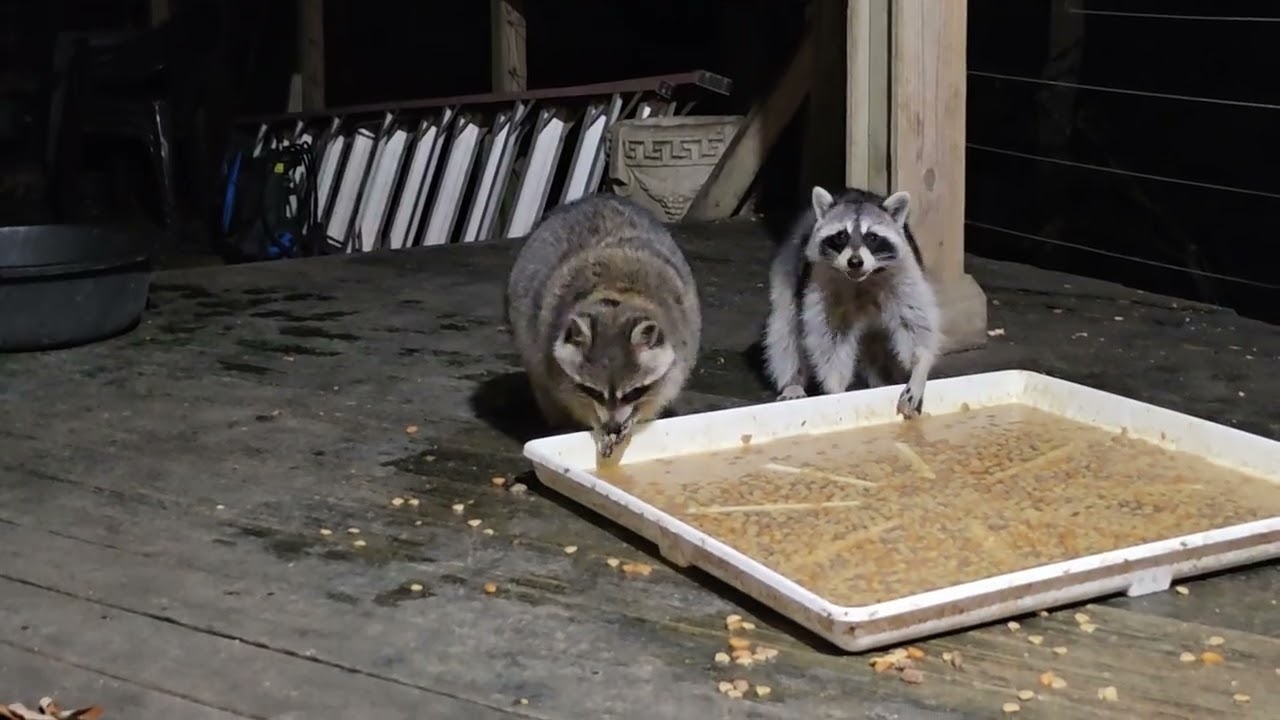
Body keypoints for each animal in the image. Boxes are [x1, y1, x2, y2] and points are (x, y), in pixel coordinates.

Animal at [505, 194, 702, 457]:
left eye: (632, 393)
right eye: (595, 392)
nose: (613, 426)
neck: (616, 299)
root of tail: (596, 197)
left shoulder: (680, 347)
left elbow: (659, 394)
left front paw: (633, 419)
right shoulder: (554, 360)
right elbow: (570, 397)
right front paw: (595, 425)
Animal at [762, 185, 941, 418]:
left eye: (872, 237)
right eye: (841, 236)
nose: (855, 261)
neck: (862, 278)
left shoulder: (904, 272)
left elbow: (916, 325)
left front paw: (920, 367)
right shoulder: (824, 283)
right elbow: (830, 339)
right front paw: (835, 387)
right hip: (789, 267)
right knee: (785, 329)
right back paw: (792, 381)